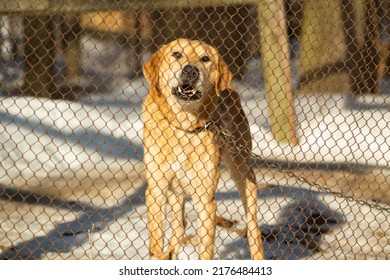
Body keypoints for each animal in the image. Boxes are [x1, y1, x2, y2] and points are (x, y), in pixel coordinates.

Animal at [142, 38, 264, 260]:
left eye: (205, 58)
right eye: (176, 54)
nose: (191, 70)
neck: (184, 126)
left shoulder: (206, 199)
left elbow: (205, 251)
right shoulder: (156, 189)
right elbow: (157, 241)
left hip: (243, 173)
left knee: (253, 228)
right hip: (175, 192)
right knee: (179, 226)